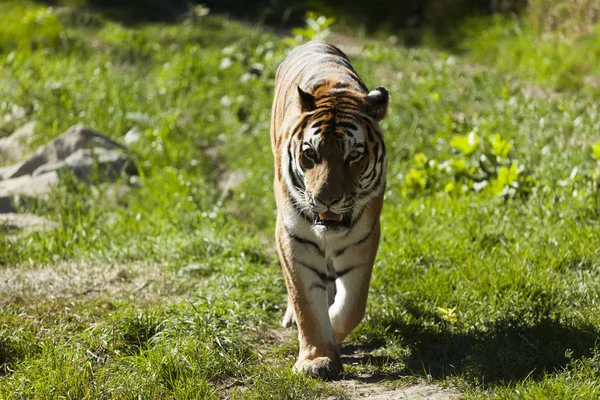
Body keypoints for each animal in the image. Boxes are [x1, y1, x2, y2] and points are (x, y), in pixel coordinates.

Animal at [270, 40, 390, 378]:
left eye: (353, 156)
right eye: (311, 154)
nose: (327, 199)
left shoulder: (363, 238)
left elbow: (353, 305)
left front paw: (334, 338)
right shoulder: (293, 237)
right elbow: (306, 302)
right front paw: (317, 358)